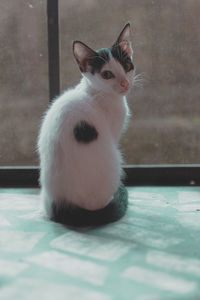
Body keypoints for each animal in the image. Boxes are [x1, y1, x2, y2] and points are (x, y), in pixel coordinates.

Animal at [37, 22, 135, 225]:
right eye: (107, 74)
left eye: (127, 66)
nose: (124, 84)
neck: (96, 92)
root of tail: (61, 205)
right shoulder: (113, 132)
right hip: (114, 159)